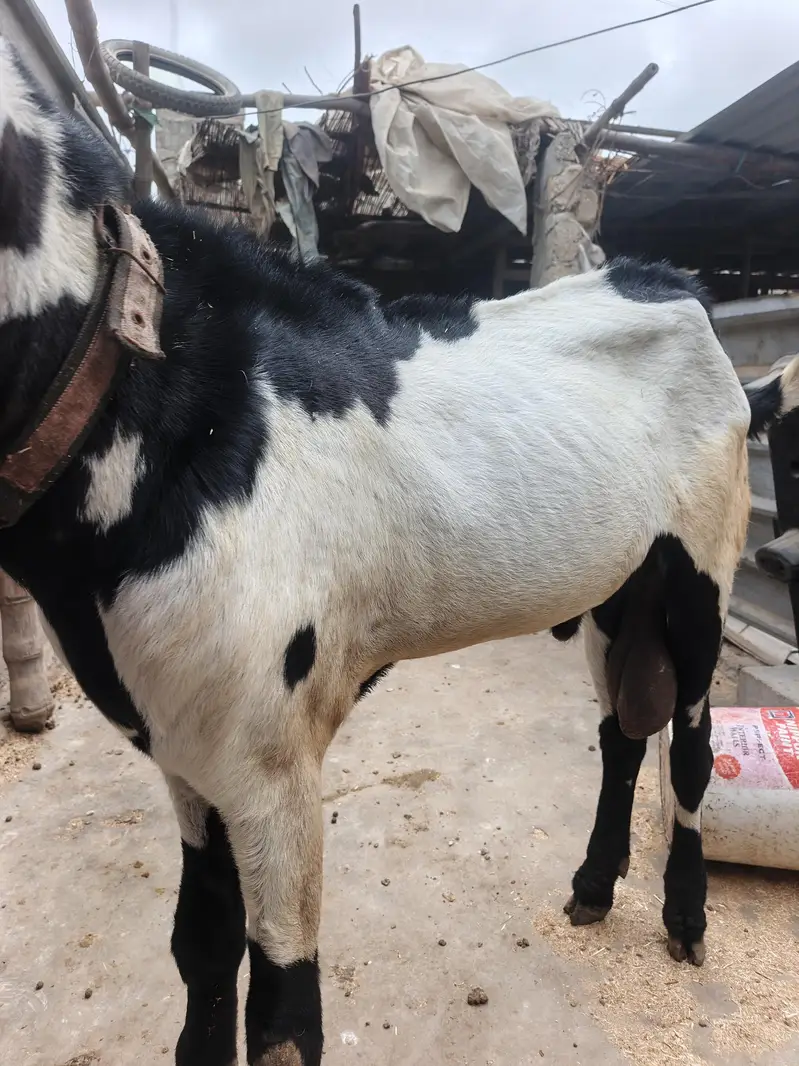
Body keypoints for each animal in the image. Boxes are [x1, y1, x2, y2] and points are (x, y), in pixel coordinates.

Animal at [2, 40, 798, 1066]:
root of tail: (681, 295)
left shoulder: (268, 759)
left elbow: (284, 1011)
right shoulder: (186, 746)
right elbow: (201, 946)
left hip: (700, 564)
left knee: (690, 749)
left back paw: (684, 917)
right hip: (617, 585)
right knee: (622, 734)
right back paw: (591, 884)